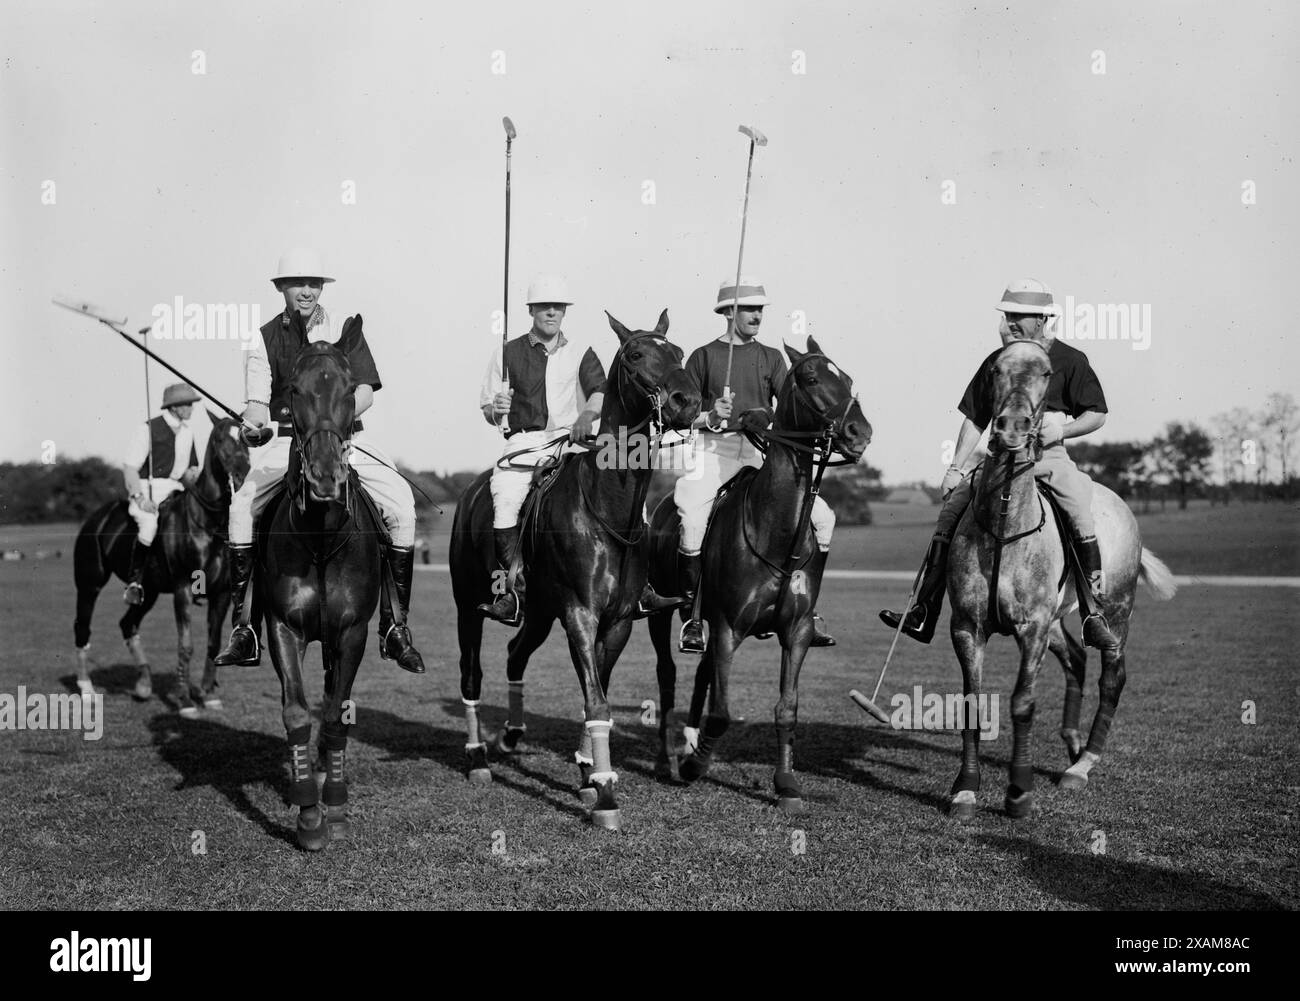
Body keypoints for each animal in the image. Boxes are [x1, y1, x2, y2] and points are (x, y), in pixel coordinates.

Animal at [73, 410, 250, 707]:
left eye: (249, 440)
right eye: (220, 439)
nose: (242, 476)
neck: (207, 523)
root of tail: (96, 518)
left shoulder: (222, 592)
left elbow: (213, 642)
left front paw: (208, 693)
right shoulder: (183, 588)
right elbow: (186, 645)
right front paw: (184, 700)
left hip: (150, 592)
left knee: (128, 624)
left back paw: (144, 684)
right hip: (89, 584)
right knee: (82, 628)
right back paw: (86, 687)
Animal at [454, 309, 702, 826]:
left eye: (679, 352)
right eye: (635, 354)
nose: (687, 401)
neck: (607, 507)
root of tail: (469, 493)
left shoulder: (618, 620)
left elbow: (599, 694)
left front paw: (589, 773)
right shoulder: (580, 614)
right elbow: (596, 700)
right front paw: (605, 793)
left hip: (538, 611)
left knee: (515, 653)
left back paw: (510, 735)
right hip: (468, 603)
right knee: (471, 673)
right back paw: (477, 756)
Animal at [642, 335, 868, 811]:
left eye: (847, 377)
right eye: (812, 378)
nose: (861, 432)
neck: (777, 531)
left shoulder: (796, 631)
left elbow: (786, 709)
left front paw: (786, 783)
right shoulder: (729, 626)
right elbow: (722, 713)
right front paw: (694, 766)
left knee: (704, 672)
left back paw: (690, 740)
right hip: (661, 611)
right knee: (668, 674)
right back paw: (667, 757)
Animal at [946, 338, 1180, 821]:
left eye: (1047, 372)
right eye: (994, 370)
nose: (1012, 427)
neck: (1004, 523)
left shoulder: (1032, 628)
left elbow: (1022, 701)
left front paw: (1019, 793)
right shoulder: (967, 627)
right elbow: (972, 704)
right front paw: (965, 789)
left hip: (1116, 611)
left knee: (1113, 675)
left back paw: (1083, 764)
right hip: (1057, 620)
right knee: (1075, 658)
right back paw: (1072, 745)